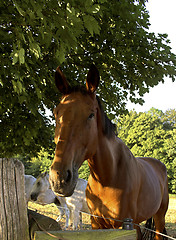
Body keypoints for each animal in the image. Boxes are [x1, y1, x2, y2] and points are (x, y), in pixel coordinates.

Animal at [49, 64, 169, 239]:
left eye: (91, 115)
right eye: (56, 113)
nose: (59, 178)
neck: (108, 177)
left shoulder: (124, 225)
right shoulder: (97, 223)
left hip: (160, 216)